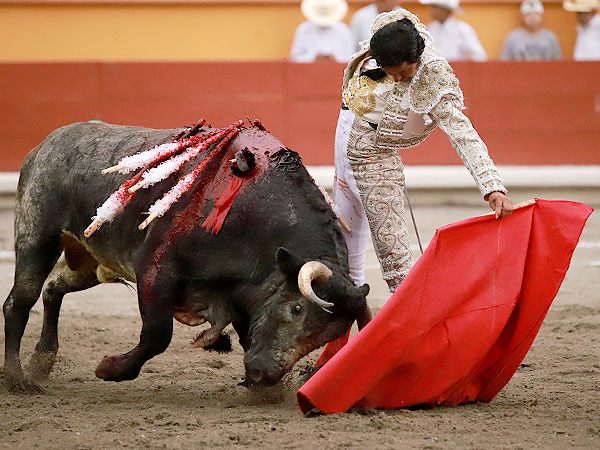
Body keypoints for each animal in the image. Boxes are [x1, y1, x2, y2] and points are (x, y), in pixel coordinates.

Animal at [2, 120, 370, 390]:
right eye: (296, 309)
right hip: (37, 237)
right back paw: (17, 379)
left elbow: (244, 332)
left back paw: (42, 362)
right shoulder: (155, 269)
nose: (264, 376)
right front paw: (109, 369)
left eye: (328, 336)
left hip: (89, 261)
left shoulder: (243, 292)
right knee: (19, 301)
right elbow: (157, 335)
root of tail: (44, 146)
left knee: (53, 289)